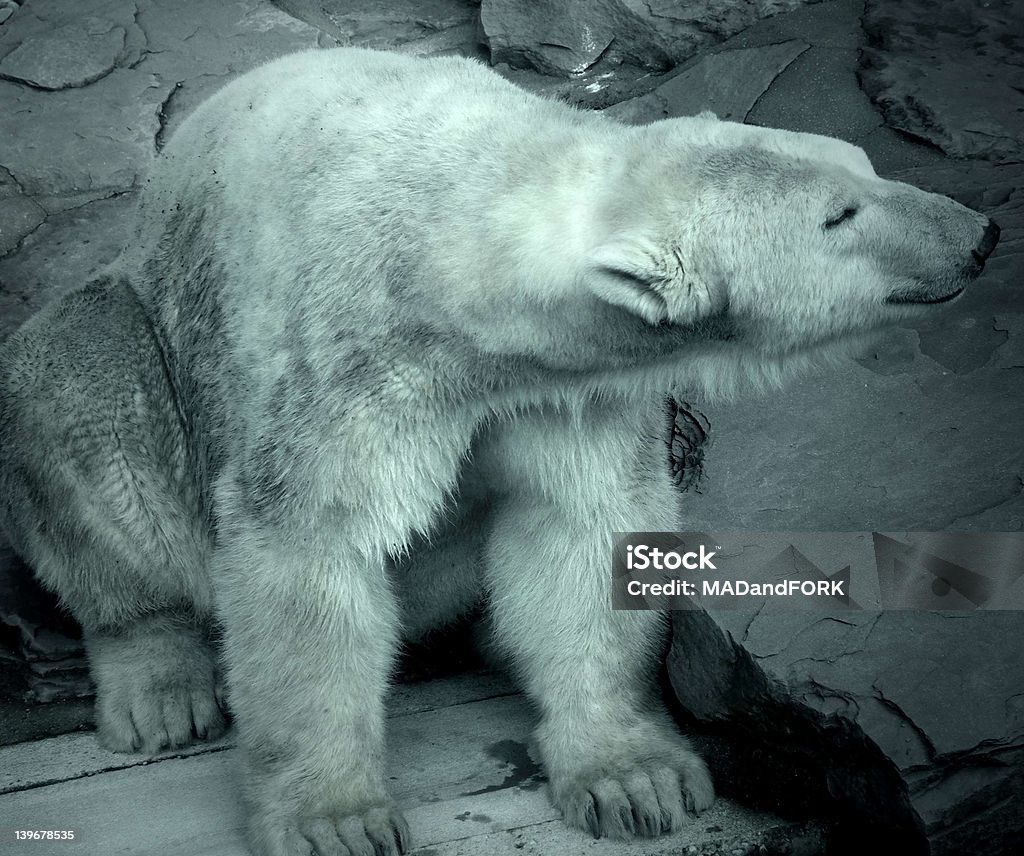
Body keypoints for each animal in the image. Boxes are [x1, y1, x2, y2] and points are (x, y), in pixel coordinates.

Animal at [0, 46, 995, 855]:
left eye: (864, 165)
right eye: (841, 214)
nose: (981, 235)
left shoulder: (564, 389)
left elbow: (584, 529)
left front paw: (635, 779)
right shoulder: (343, 362)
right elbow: (309, 552)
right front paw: (336, 821)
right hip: (135, 346)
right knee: (87, 417)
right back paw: (162, 689)